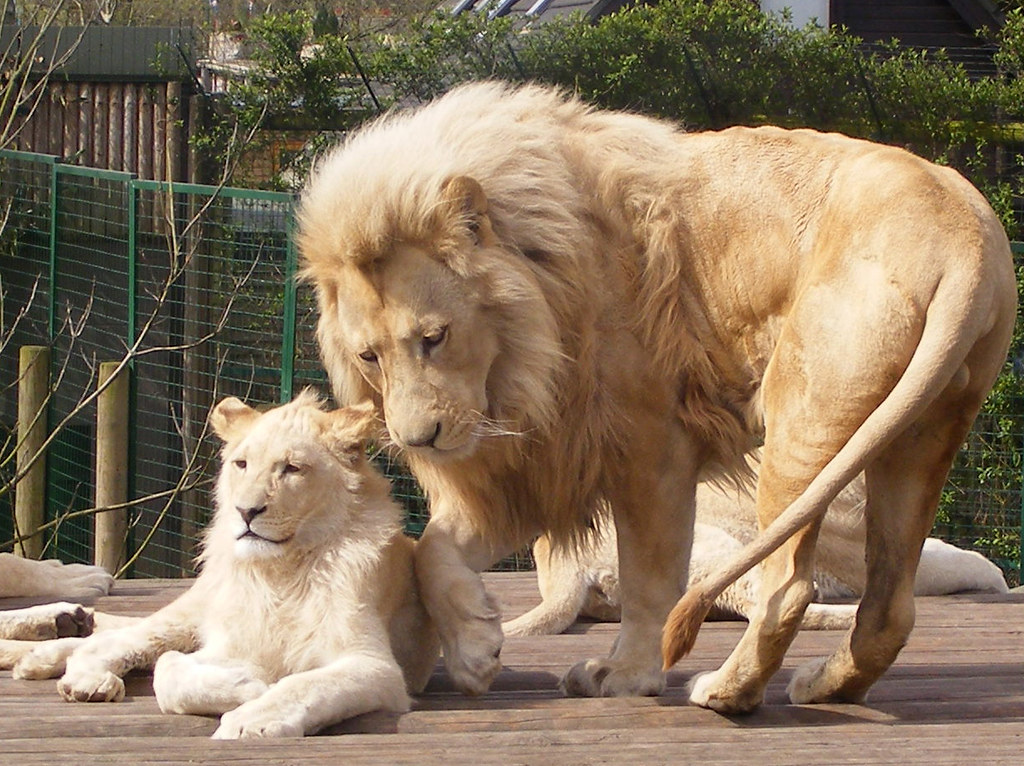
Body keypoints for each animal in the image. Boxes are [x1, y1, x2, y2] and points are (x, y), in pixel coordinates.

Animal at [26, 393, 439, 739]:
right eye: (241, 464)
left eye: (292, 468)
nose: (246, 511)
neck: (280, 572)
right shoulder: (229, 643)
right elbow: (169, 670)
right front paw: (251, 683)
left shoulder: (377, 668)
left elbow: (303, 684)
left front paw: (252, 720)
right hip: (187, 615)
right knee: (117, 640)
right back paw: (79, 677)